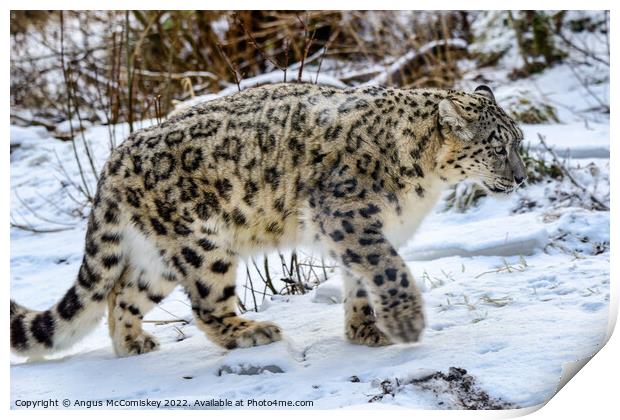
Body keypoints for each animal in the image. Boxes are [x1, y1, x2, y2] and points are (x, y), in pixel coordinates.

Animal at [8, 83, 524, 360]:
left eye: (518, 140)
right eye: (498, 146)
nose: (521, 176)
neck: (425, 181)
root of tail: (115, 157)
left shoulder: (361, 233)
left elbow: (361, 281)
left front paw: (366, 331)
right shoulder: (349, 217)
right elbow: (389, 269)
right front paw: (406, 324)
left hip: (158, 258)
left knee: (122, 294)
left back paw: (133, 343)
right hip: (203, 245)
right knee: (206, 306)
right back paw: (251, 332)